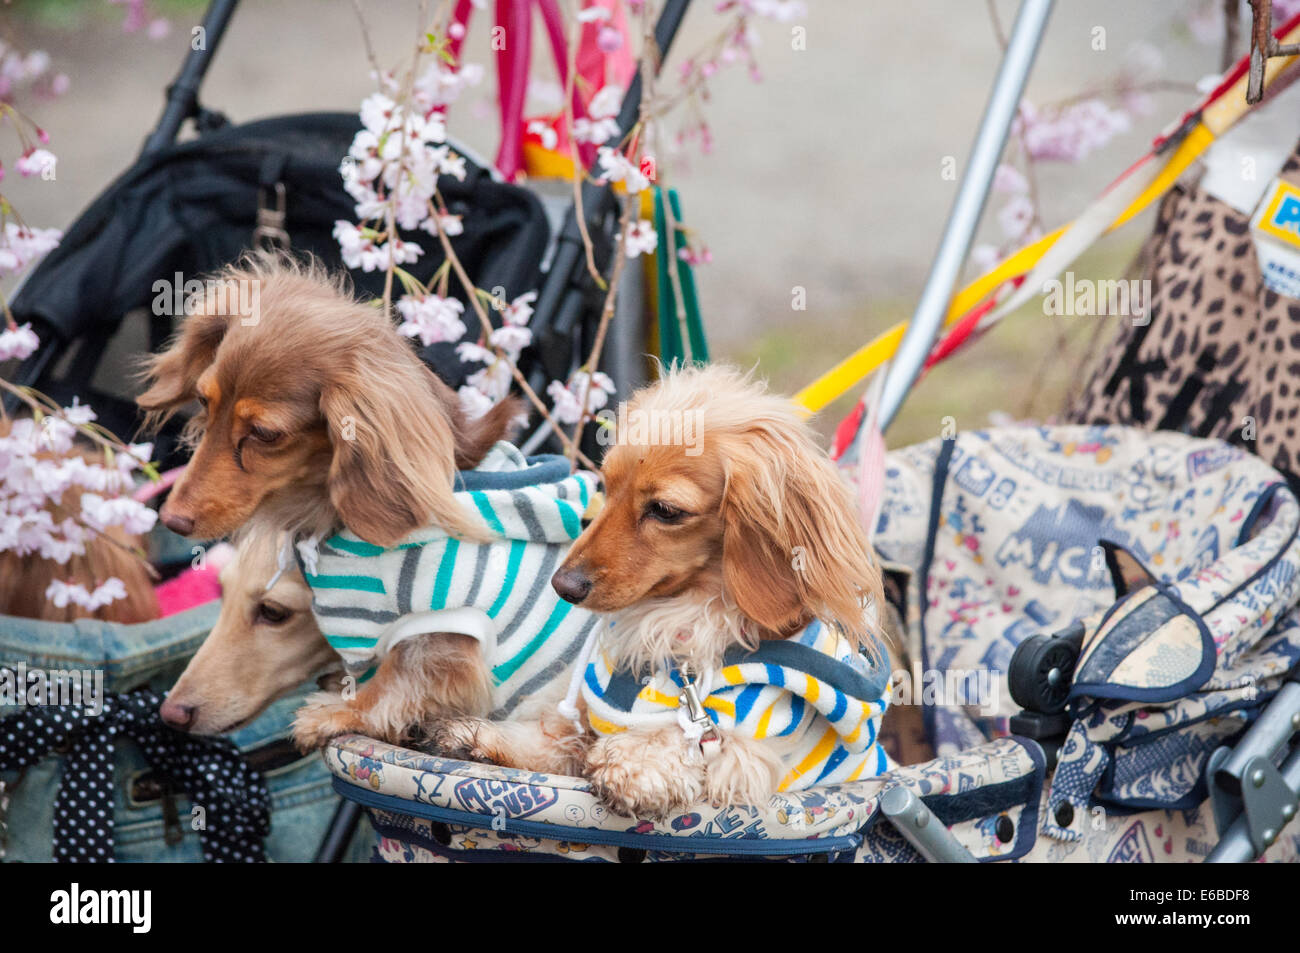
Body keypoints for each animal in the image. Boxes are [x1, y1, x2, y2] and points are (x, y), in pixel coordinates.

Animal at [134, 256, 514, 748]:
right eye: (203, 399)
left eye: (265, 433)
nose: (170, 519)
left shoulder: (445, 625)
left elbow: (399, 680)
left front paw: (336, 712)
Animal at [426, 366, 894, 816]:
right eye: (605, 485)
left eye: (665, 510)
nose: (563, 586)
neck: (674, 624)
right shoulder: (588, 702)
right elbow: (553, 735)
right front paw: (480, 738)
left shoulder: (750, 745)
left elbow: (686, 735)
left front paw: (632, 765)